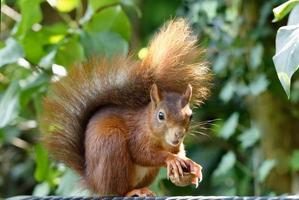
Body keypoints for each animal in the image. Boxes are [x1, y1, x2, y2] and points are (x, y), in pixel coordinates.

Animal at [40, 18, 213, 197]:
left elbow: (179, 152)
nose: (178, 135)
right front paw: (172, 159)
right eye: (160, 115)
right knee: (118, 190)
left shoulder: (175, 145)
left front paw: (189, 164)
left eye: (191, 116)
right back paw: (132, 191)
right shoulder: (137, 135)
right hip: (112, 147)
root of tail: (94, 182)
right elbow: (142, 154)